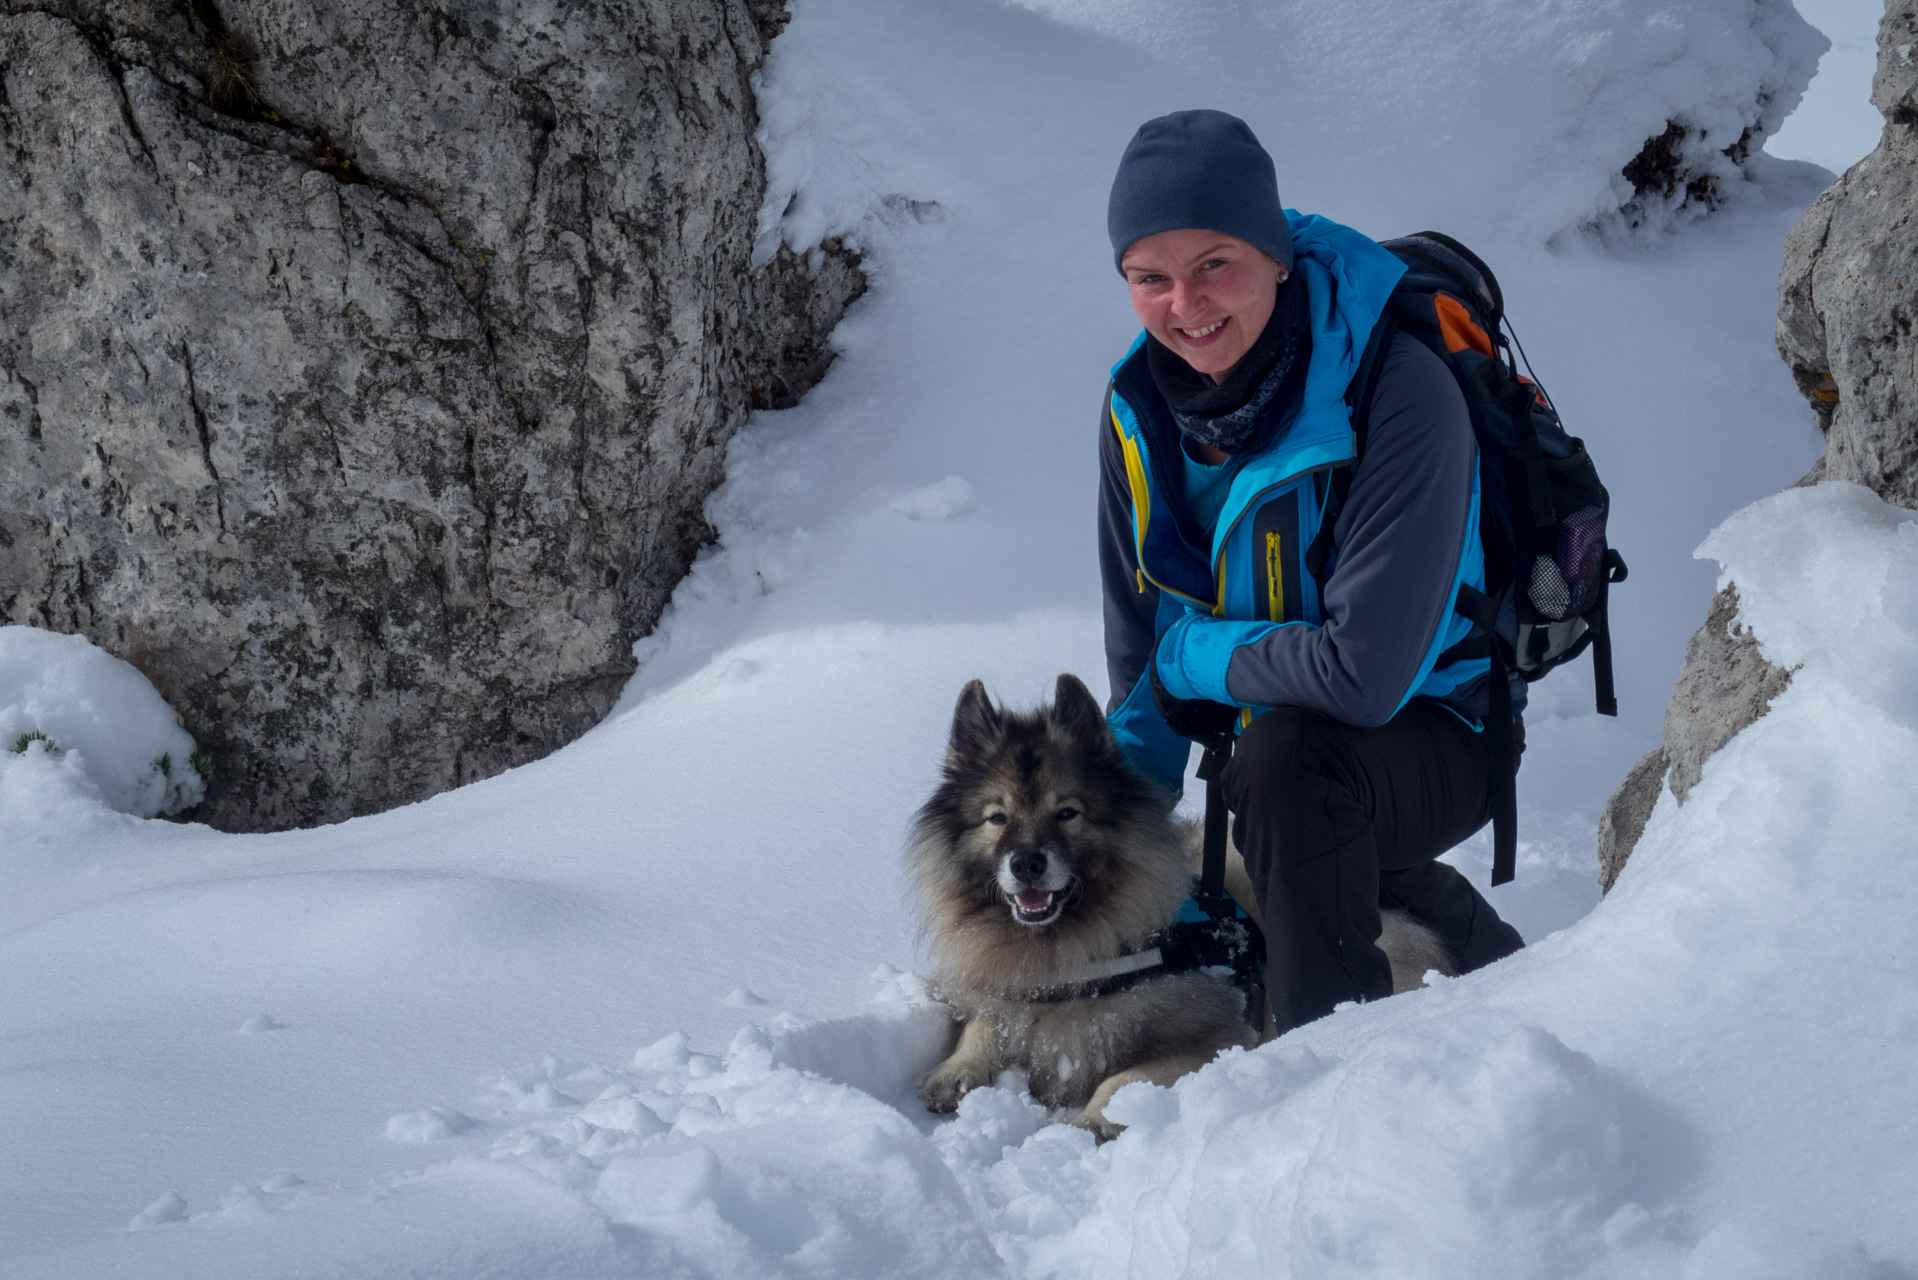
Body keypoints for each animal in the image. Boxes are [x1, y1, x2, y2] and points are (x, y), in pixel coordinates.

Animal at [905, 675, 1457, 1136]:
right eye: (996, 818)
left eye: (1067, 813)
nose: (1026, 863)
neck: (1072, 955)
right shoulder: (1009, 998)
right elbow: (982, 1027)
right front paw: (953, 1071)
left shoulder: (1213, 1038)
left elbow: (1122, 1079)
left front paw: (1089, 1121)